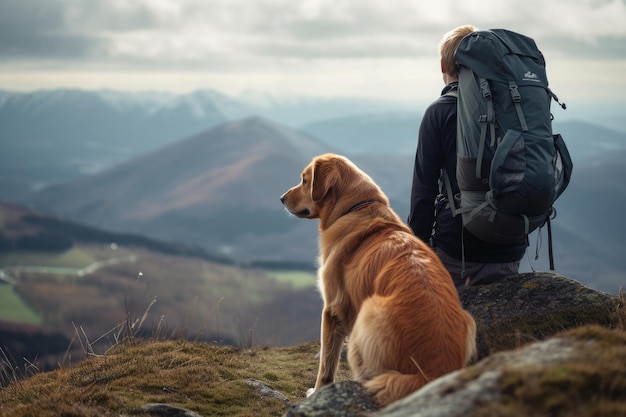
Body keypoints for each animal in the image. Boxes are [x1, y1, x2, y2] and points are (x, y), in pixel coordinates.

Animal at [278, 154, 472, 406]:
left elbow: (326, 363)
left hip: (369, 312)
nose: (281, 198)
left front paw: (317, 391)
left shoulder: (332, 309)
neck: (355, 208)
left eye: (304, 179)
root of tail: (432, 374)